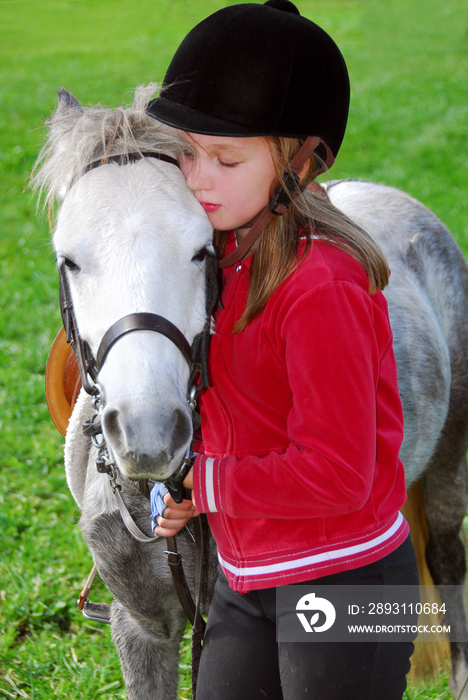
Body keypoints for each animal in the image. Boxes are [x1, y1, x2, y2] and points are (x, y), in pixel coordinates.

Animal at [33, 87, 468, 700]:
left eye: (201, 250)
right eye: (68, 258)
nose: (148, 433)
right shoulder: (141, 629)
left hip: (450, 458)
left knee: (448, 561)